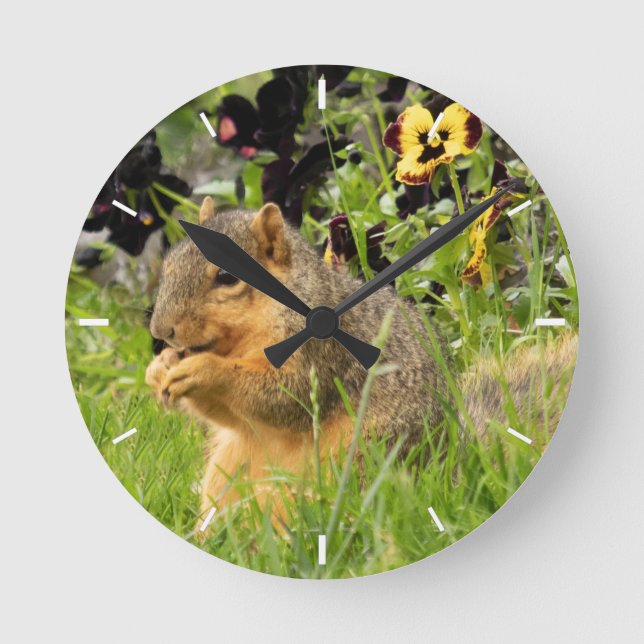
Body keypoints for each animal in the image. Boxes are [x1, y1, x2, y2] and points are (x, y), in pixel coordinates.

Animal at [146, 197, 576, 523]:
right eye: (169, 265)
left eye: (226, 278)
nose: (161, 330)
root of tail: (445, 467)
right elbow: (233, 415)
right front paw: (158, 369)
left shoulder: (320, 357)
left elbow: (286, 399)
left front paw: (204, 371)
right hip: (228, 469)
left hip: (360, 459)